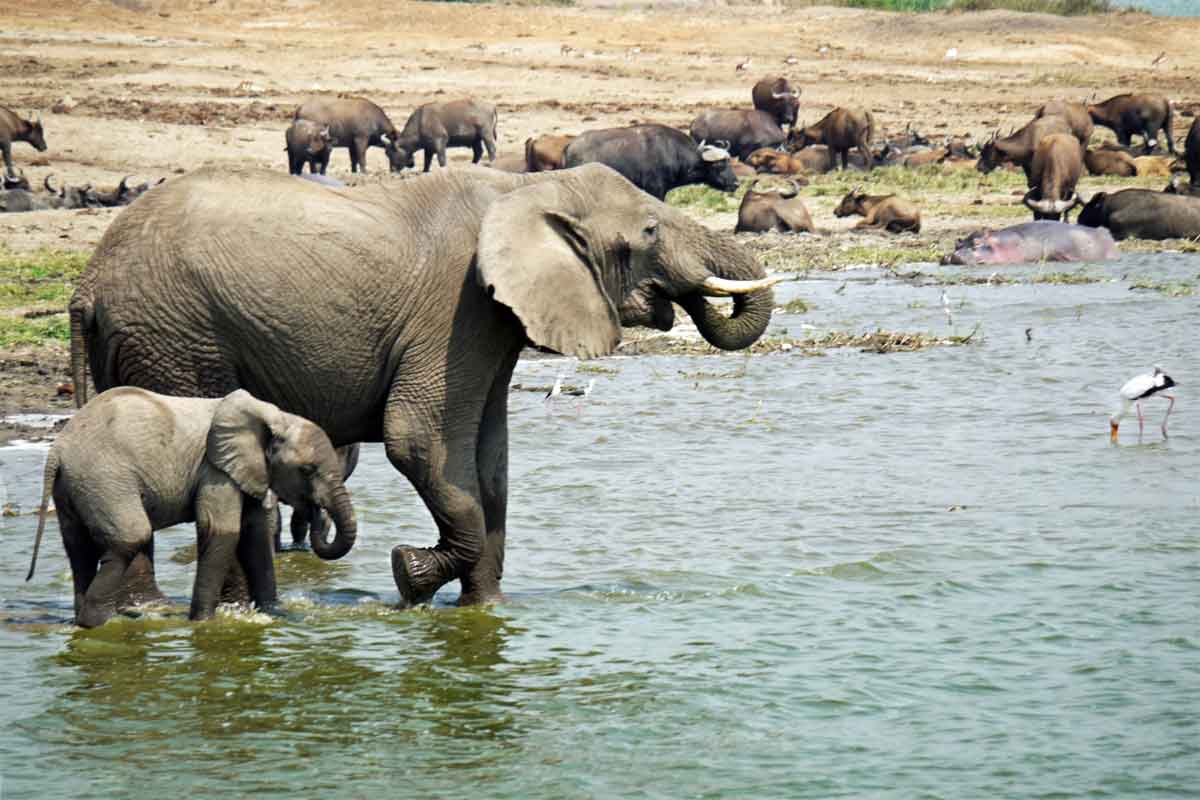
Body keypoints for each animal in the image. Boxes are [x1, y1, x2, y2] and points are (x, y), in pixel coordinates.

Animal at [27, 386, 355, 623]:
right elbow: (221, 530)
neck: (276, 417)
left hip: (74, 486)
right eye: (307, 470)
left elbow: (255, 534)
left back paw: (85, 621)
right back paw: (100, 622)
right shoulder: (215, 470)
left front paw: (273, 613)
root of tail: (57, 449)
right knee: (131, 536)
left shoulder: (246, 470)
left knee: (78, 547)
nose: (316, 511)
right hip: (104, 478)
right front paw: (203, 623)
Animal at [72, 167, 777, 606]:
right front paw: (409, 576)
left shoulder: (493, 320)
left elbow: (489, 460)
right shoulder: (458, 307)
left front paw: (485, 612)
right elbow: (419, 440)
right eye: (651, 232)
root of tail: (87, 282)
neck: (525, 188)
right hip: (178, 338)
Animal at [564, 125, 739, 201]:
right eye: (719, 165)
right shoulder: (655, 190)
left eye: (729, 162)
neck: (672, 151)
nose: (736, 184)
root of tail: (569, 147)